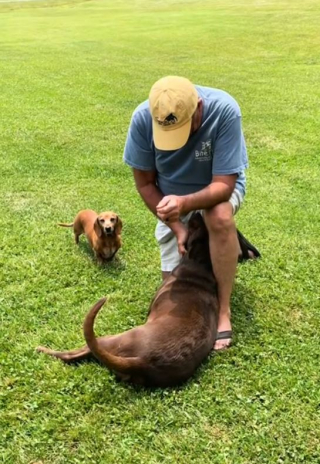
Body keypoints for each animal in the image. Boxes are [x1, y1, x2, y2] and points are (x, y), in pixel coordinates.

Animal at [37, 214, 218, 388]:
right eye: (200, 225)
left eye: (193, 226)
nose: (198, 213)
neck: (200, 264)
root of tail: (142, 362)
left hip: (109, 339)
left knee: (72, 354)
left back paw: (42, 349)